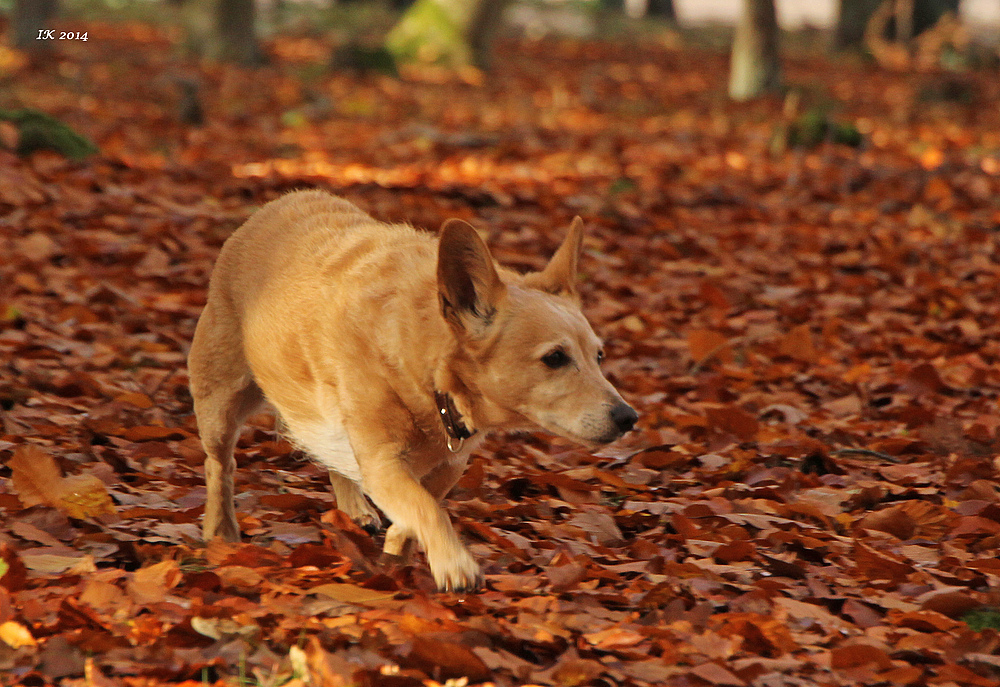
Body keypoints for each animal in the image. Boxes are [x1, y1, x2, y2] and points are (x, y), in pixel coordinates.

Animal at [188, 189, 636, 592]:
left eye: (599, 356)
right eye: (555, 358)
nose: (629, 418)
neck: (429, 376)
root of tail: (278, 203)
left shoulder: (448, 465)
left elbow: (421, 507)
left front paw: (396, 556)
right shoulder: (383, 461)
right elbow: (427, 509)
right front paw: (455, 565)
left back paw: (354, 508)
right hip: (222, 401)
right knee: (220, 465)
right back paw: (220, 529)